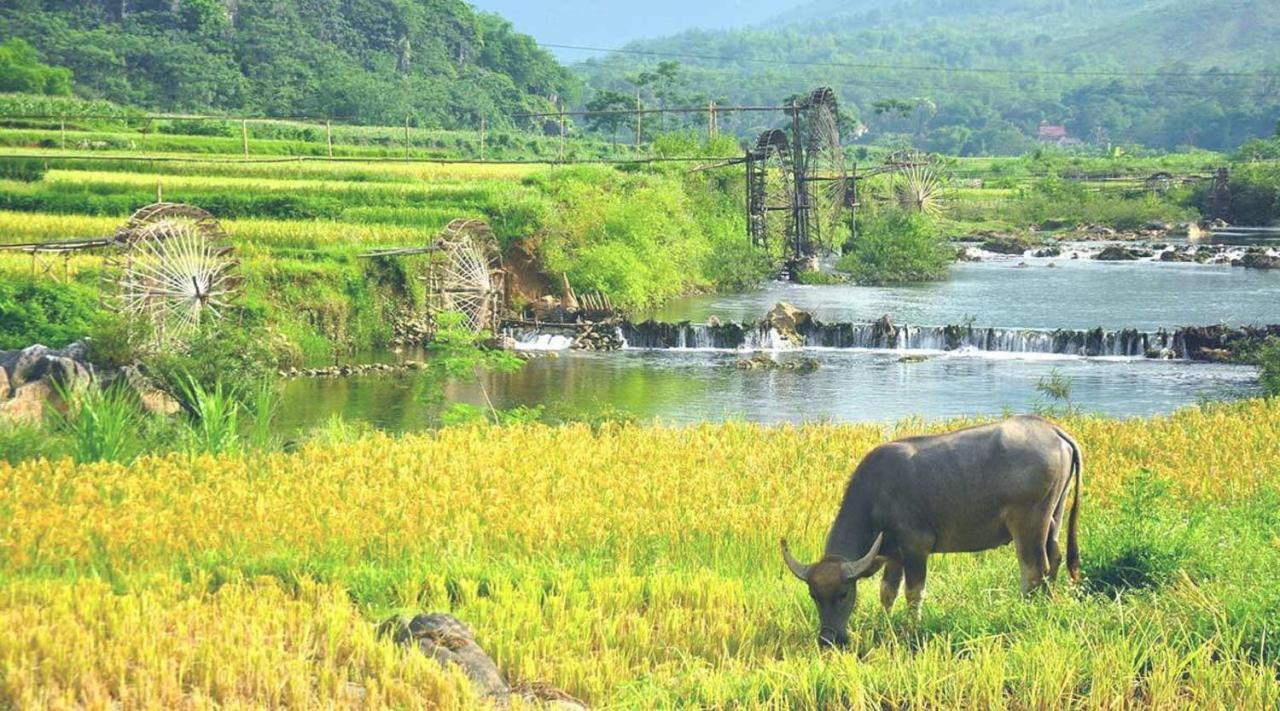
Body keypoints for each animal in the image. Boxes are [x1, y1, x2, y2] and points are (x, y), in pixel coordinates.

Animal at [778, 415, 1080, 648]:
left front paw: (910, 629)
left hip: (1029, 524)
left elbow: (914, 592)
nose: (828, 640)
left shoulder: (916, 547)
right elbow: (887, 591)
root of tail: (1052, 429)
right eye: (813, 596)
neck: (876, 494)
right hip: (1054, 516)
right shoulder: (894, 555)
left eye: (843, 594)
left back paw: (1025, 610)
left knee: (1032, 570)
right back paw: (1048, 603)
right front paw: (884, 622)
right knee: (1054, 558)